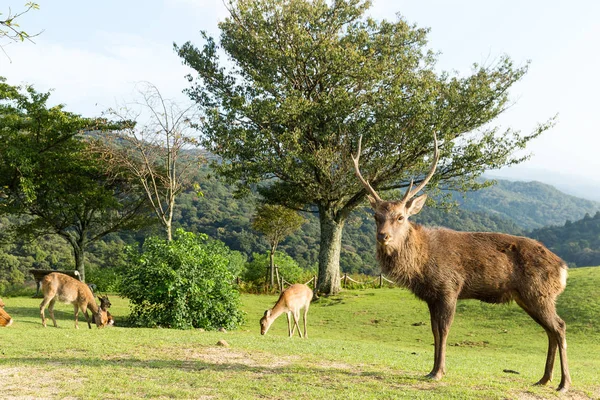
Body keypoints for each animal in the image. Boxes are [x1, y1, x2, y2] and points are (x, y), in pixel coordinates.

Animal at [352, 133, 572, 392]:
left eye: (400, 217)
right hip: (528, 297)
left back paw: (564, 383)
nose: (383, 236)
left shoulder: (449, 287)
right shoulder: (431, 296)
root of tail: (563, 268)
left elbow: (444, 329)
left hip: (539, 293)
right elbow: (434, 331)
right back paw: (544, 379)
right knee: (550, 330)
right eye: (376, 216)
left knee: (559, 326)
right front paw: (431, 370)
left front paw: (439, 372)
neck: (421, 265)